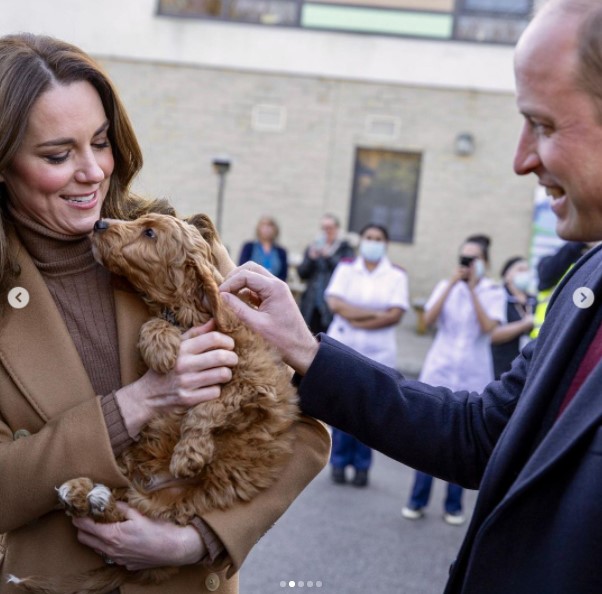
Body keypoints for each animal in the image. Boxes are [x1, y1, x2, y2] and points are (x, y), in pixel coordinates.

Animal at [9, 213, 298, 592]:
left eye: (149, 233)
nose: (99, 224)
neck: (188, 313)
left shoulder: (254, 383)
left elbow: (207, 408)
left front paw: (189, 454)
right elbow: (153, 326)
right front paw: (161, 348)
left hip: (171, 508)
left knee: (131, 510)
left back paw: (92, 497)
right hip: (131, 459)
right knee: (115, 496)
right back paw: (81, 492)